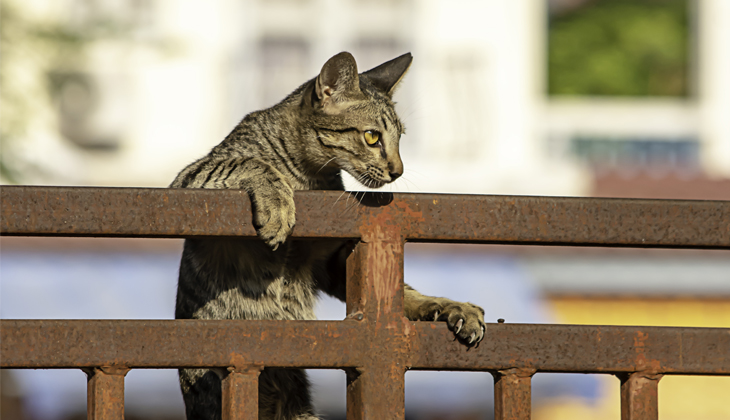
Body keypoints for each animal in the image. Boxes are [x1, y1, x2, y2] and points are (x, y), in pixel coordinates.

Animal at [170, 52, 484, 420]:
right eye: (372, 137)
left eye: (400, 138)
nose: (398, 170)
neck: (311, 178)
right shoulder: (191, 180)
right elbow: (249, 162)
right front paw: (278, 202)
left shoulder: (333, 261)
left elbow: (400, 292)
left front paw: (448, 305)